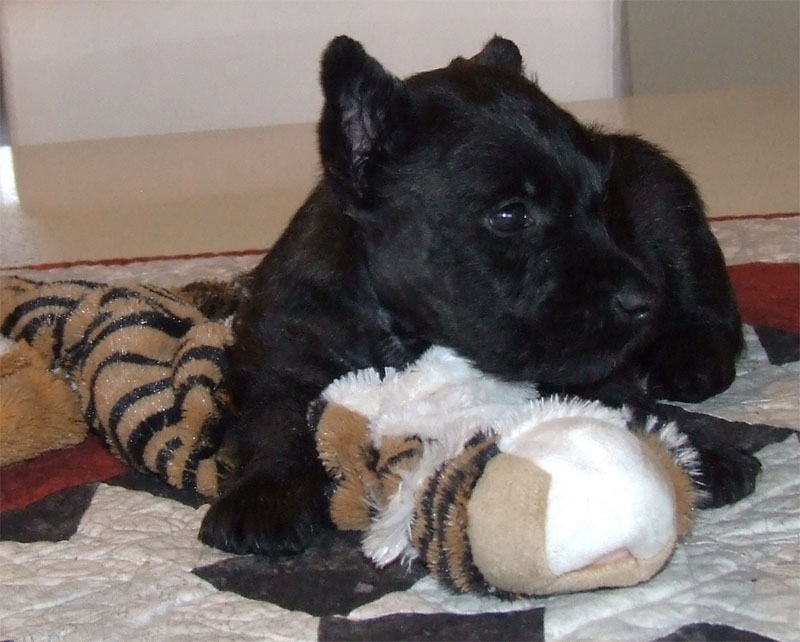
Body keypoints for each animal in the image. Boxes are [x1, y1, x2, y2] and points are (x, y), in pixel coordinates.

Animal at [199, 36, 751, 556]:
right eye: (510, 215)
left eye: (603, 201)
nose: (643, 301)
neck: (400, 330)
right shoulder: (276, 355)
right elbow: (276, 417)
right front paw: (265, 494)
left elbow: (624, 398)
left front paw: (695, 448)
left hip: (668, 210)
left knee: (709, 303)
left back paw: (691, 360)